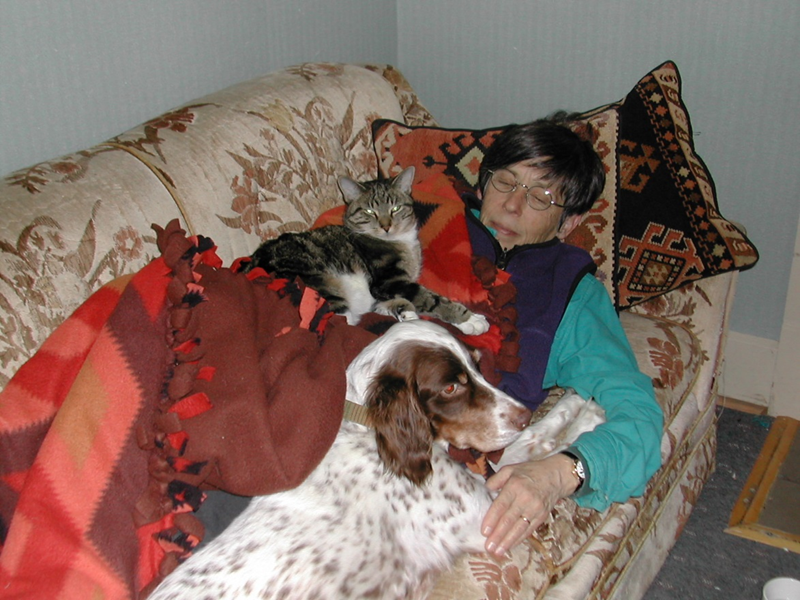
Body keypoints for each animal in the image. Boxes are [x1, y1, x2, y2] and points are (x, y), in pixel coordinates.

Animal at [149, 320, 605, 600]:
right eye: (451, 387)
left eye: (476, 368)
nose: (524, 411)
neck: (373, 432)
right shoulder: (487, 515)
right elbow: (533, 455)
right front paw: (588, 413)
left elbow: (526, 444)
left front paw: (577, 403)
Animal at [244, 166, 489, 335]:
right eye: (370, 211)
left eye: (395, 208)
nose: (386, 225)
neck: (400, 241)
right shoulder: (388, 281)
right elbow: (431, 298)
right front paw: (470, 319)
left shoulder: (383, 290)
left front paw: (405, 312)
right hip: (321, 285)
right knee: (343, 323)